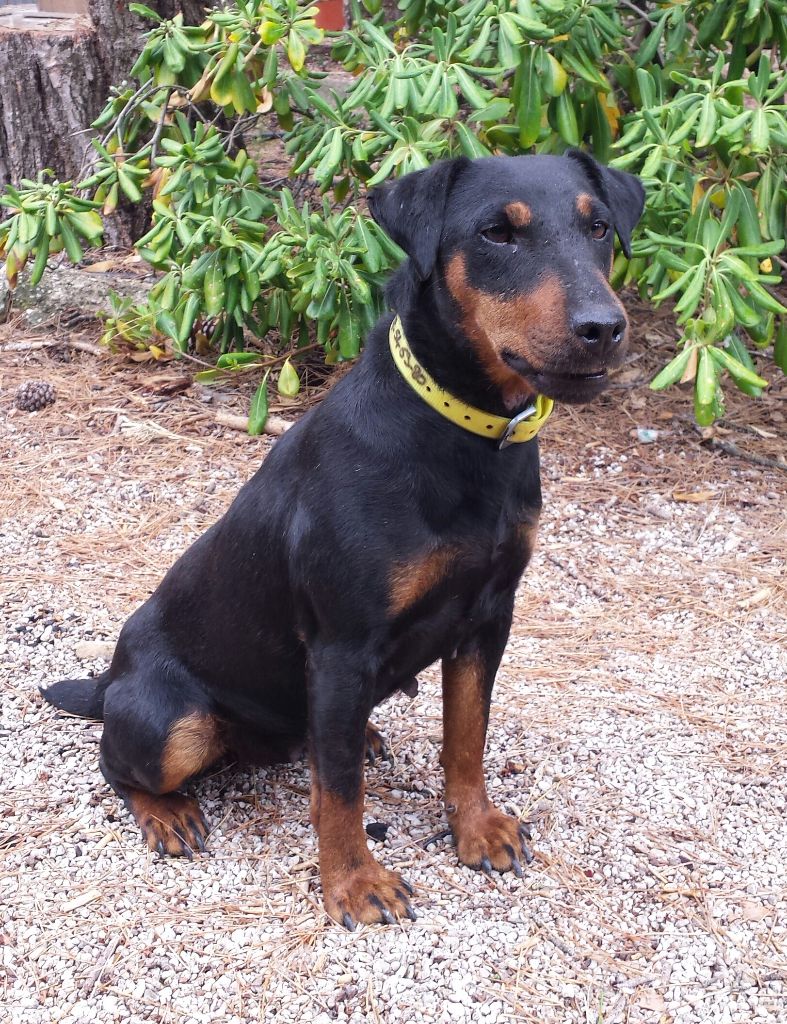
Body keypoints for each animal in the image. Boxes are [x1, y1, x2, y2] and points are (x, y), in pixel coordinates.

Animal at [42, 152, 644, 928]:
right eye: (495, 234)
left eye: (597, 227)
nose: (603, 327)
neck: (462, 435)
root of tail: (110, 681)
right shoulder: (341, 645)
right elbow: (339, 791)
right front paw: (354, 883)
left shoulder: (488, 617)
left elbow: (466, 740)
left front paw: (476, 829)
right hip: (172, 721)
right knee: (117, 763)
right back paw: (166, 811)